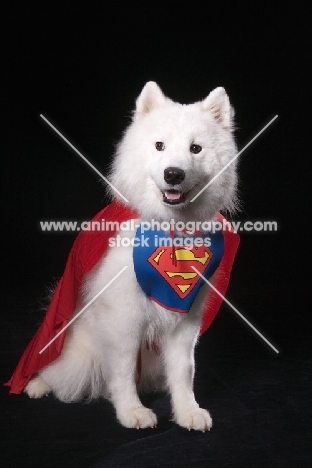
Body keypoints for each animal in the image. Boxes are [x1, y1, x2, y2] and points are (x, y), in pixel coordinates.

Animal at [23, 83, 239, 432]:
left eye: (196, 149)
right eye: (159, 146)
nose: (173, 174)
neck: (170, 229)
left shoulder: (185, 321)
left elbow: (183, 372)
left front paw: (187, 411)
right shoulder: (125, 320)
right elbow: (123, 372)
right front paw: (132, 411)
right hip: (78, 354)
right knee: (58, 370)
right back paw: (37, 383)